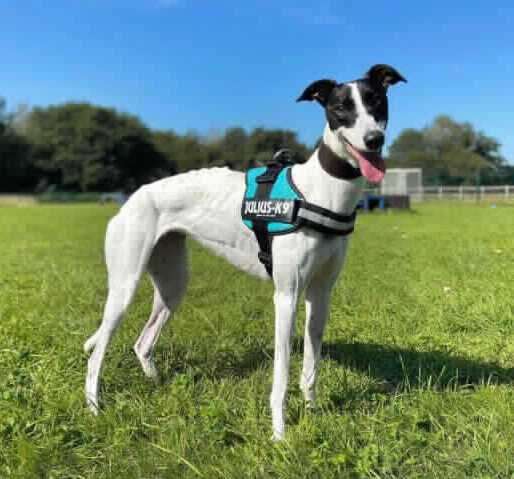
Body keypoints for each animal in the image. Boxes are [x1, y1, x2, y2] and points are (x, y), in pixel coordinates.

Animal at [83, 64, 404, 442]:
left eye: (377, 101)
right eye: (341, 108)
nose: (374, 140)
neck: (320, 192)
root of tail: (133, 197)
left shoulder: (320, 294)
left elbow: (311, 366)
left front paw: (312, 410)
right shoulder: (286, 296)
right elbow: (281, 374)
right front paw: (280, 434)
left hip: (172, 283)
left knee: (142, 342)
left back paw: (157, 384)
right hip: (125, 285)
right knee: (97, 353)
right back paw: (93, 407)